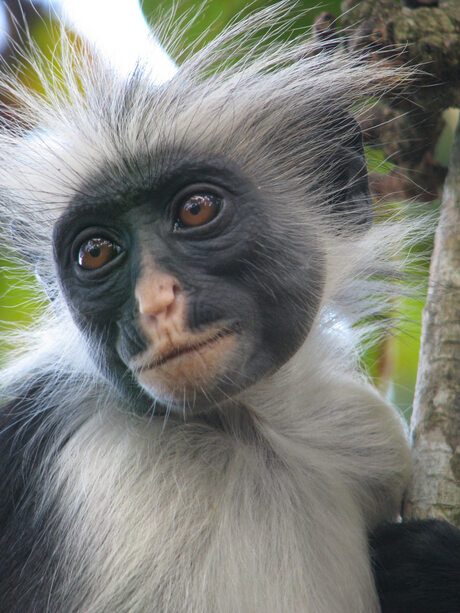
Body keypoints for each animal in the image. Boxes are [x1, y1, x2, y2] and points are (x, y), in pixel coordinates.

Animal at [0, 4, 458, 612]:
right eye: (95, 251)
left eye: (196, 210)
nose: (155, 303)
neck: (243, 428)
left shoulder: (367, 432)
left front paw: (435, 569)